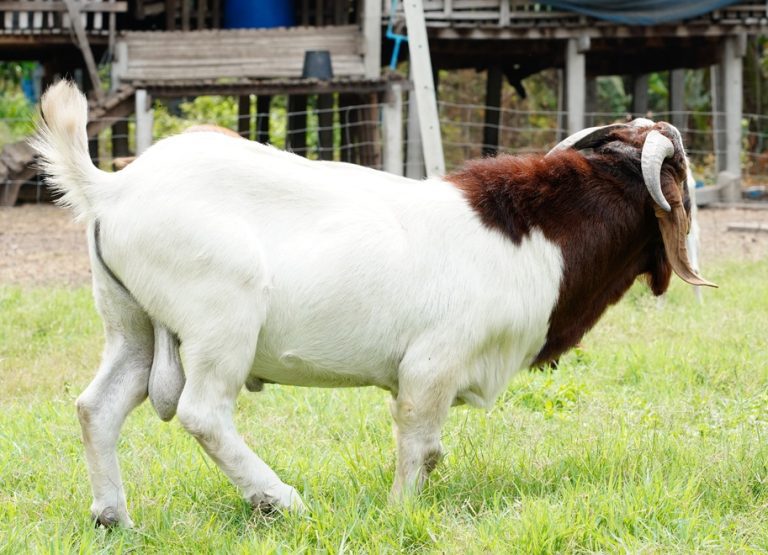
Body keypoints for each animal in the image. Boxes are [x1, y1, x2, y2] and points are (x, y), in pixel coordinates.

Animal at [34, 81, 715, 527]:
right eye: (679, 178)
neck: (535, 232)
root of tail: (111, 188)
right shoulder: (433, 363)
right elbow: (422, 446)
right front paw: (398, 513)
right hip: (220, 319)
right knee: (203, 412)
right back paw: (280, 500)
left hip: (131, 323)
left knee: (98, 406)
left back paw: (113, 516)